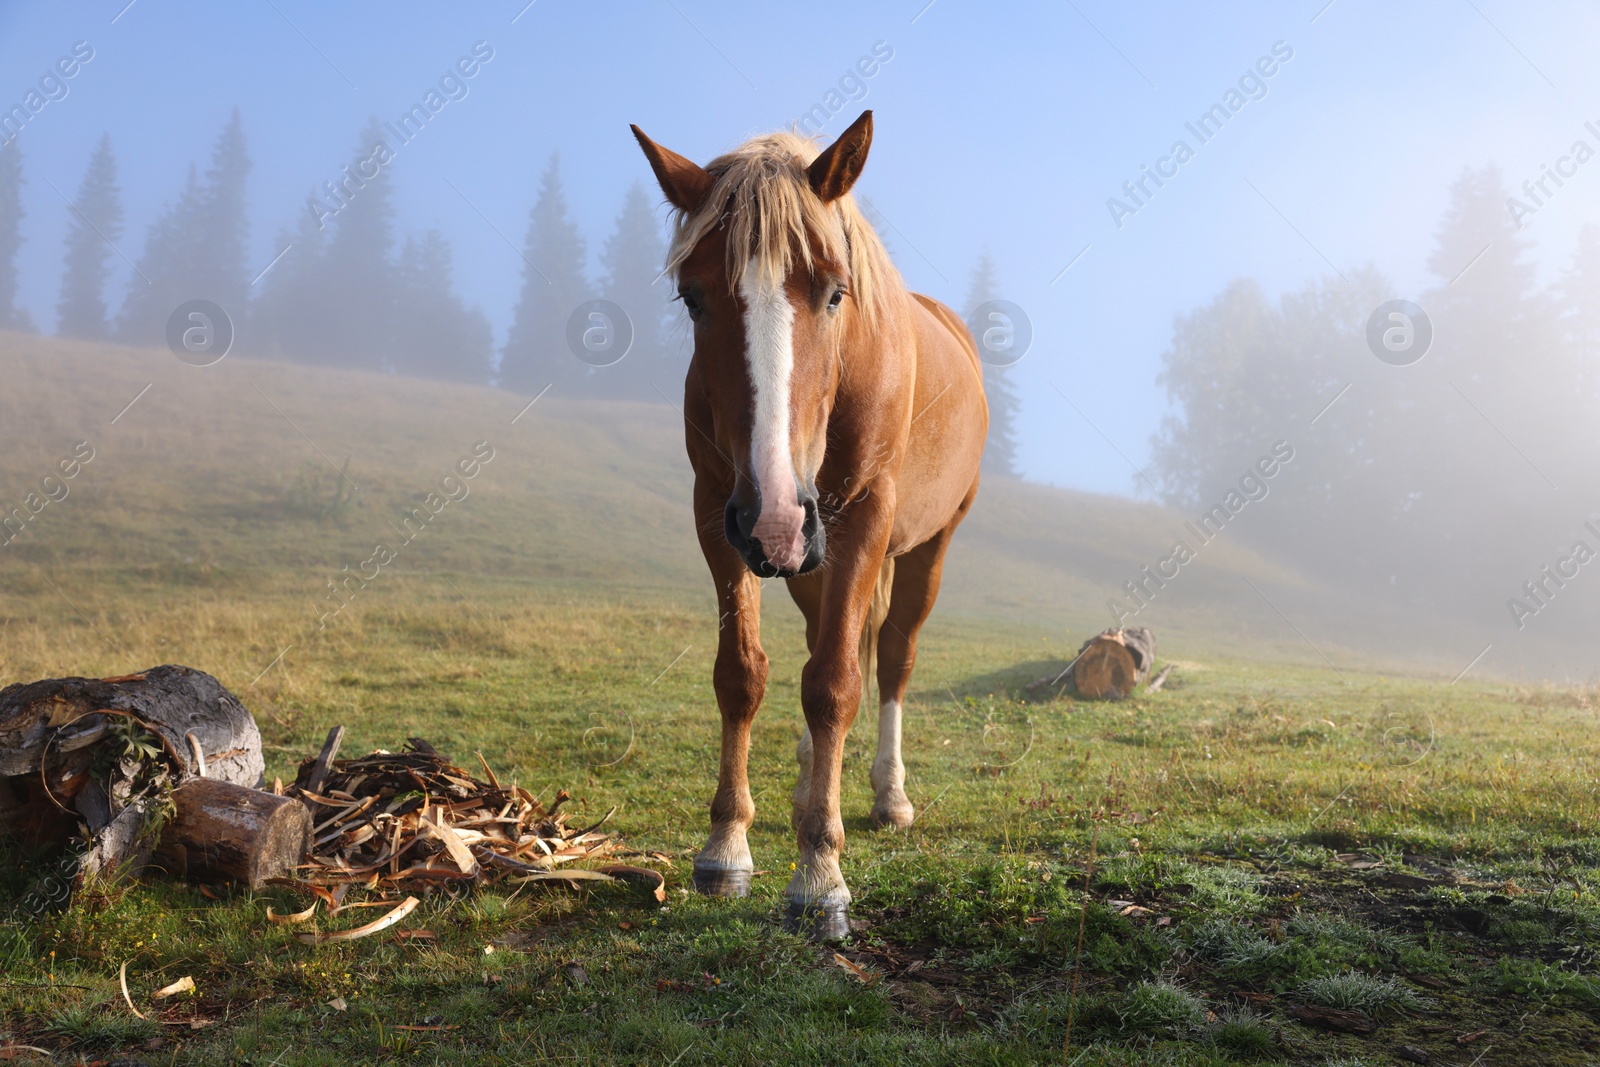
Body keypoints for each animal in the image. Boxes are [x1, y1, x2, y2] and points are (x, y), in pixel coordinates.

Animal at [627, 112, 985, 940]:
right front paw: (727, 844)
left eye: (833, 293)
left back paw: (886, 793)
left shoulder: (862, 520)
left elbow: (834, 683)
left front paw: (820, 873)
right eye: (692, 298)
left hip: (922, 545)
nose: (777, 513)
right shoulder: (720, 512)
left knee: (890, 656)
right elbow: (743, 673)